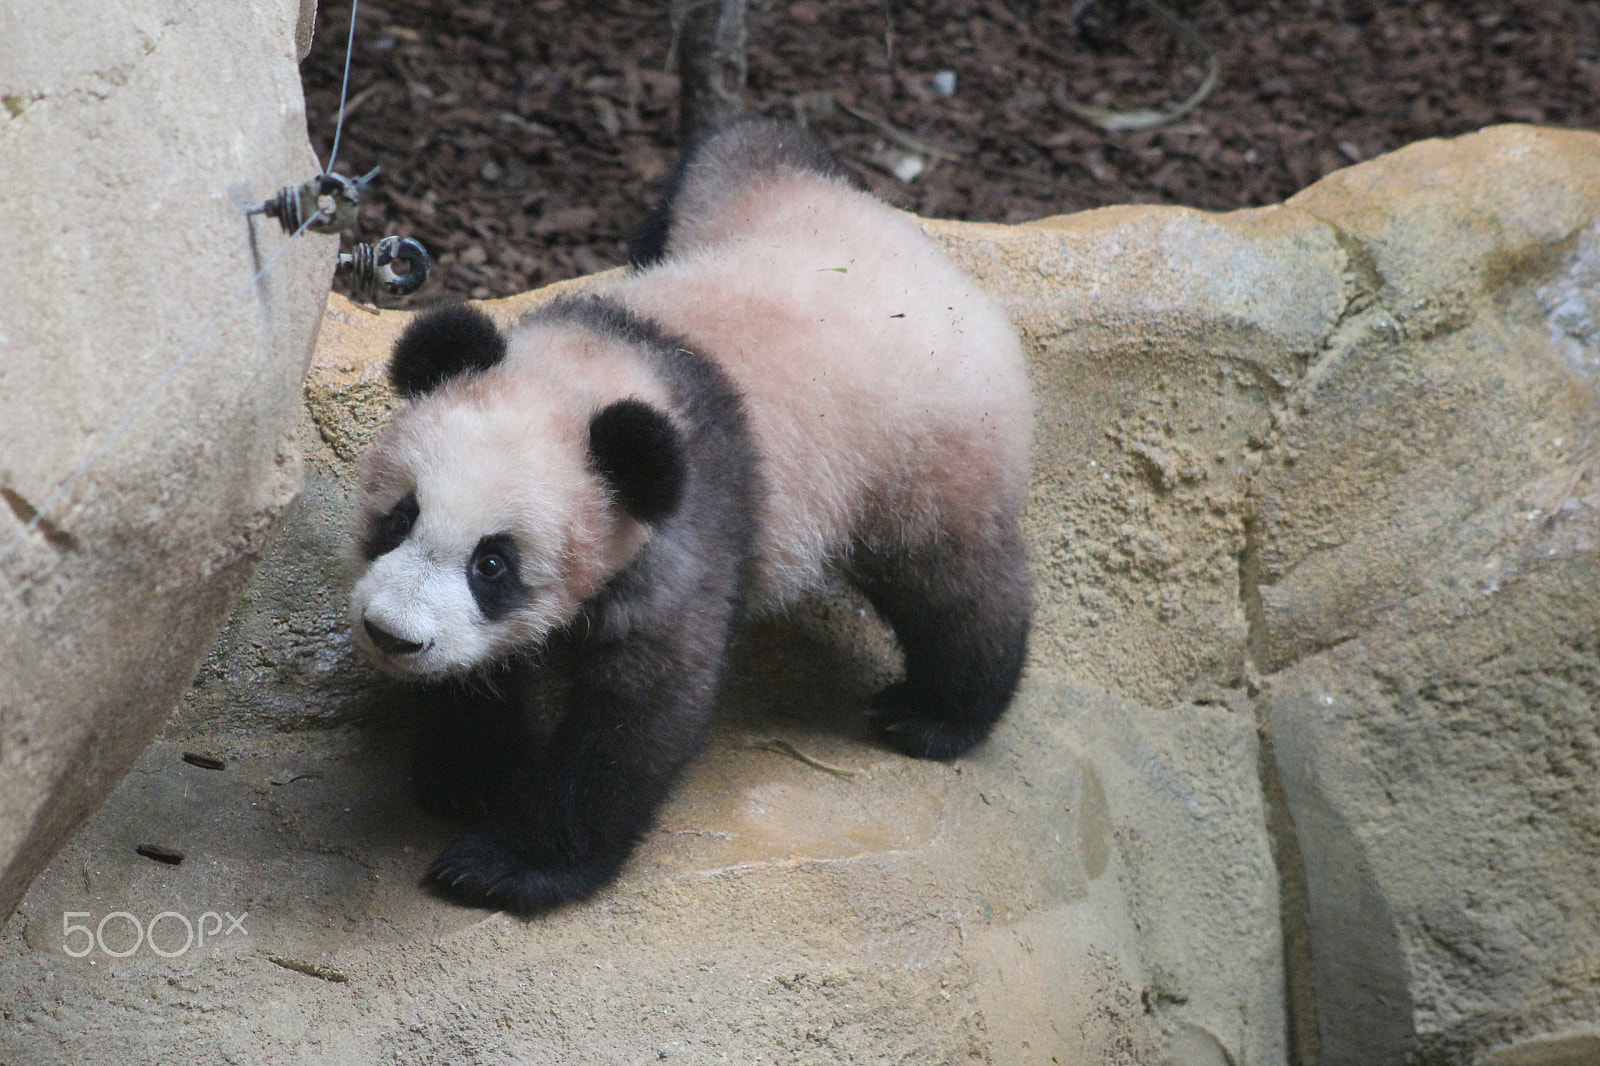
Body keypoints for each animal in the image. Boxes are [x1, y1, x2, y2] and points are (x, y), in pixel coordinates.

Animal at [350, 119, 1033, 913]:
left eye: (493, 564)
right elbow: (482, 671)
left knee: (954, 584)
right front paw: (467, 775)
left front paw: (505, 864)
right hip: (729, 198)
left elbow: (643, 709)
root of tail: (937, 264)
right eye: (400, 518)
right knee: (741, 147)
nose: (390, 634)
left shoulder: (685, 527)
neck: (587, 376)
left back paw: (936, 714)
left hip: (922, 453)